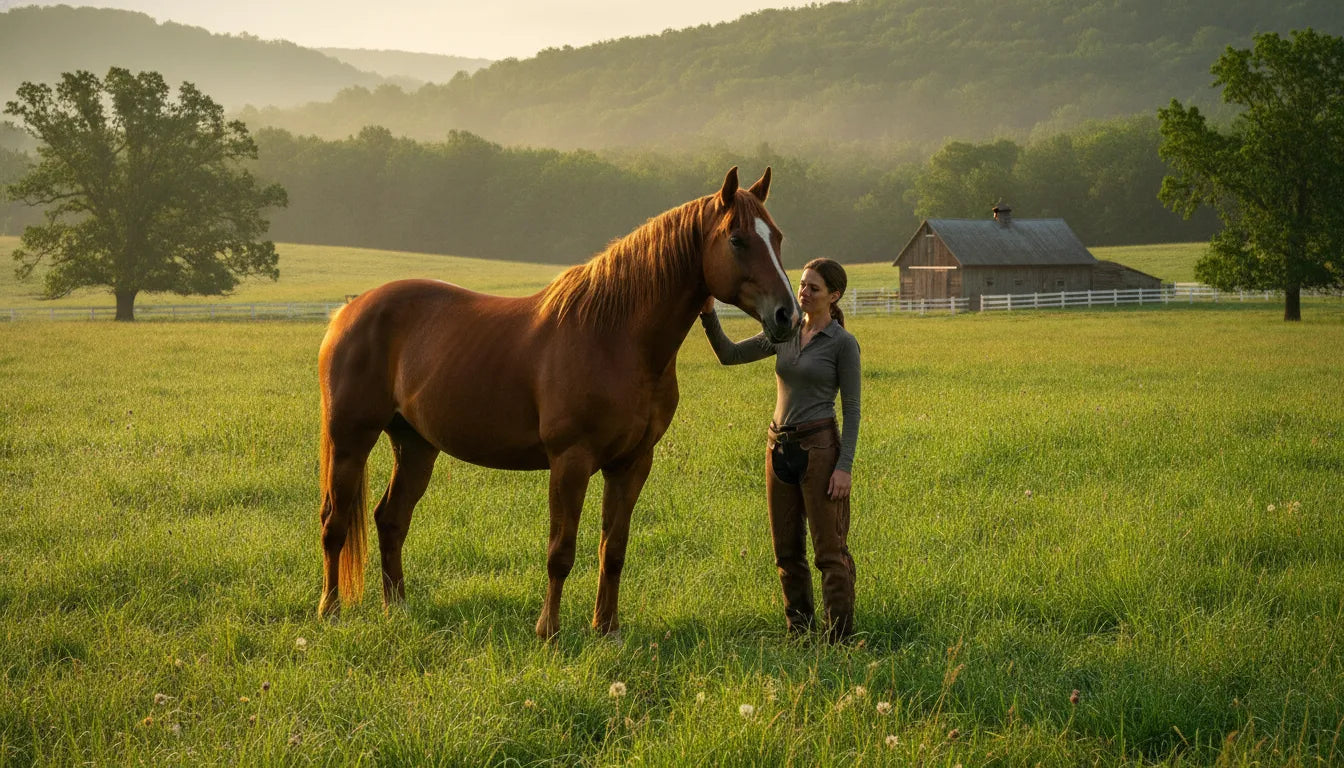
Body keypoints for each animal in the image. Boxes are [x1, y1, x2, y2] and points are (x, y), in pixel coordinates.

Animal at [316, 166, 800, 639]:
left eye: (777, 237)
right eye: (737, 239)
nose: (788, 316)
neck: (616, 337)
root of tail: (348, 312)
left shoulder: (632, 463)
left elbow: (614, 549)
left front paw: (607, 629)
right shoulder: (571, 460)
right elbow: (561, 551)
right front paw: (548, 631)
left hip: (415, 445)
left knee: (391, 520)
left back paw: (396, 609)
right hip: (351, 441)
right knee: (334, 524)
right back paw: (330, 611)